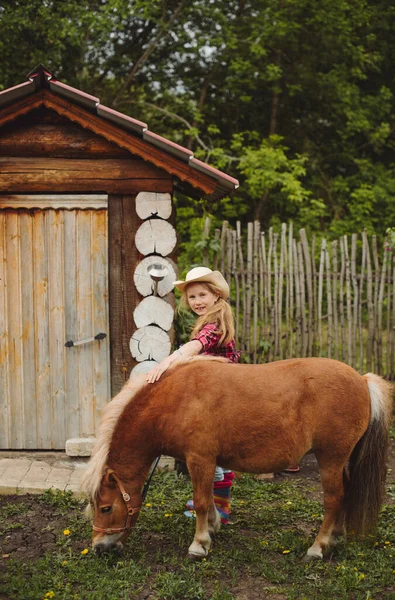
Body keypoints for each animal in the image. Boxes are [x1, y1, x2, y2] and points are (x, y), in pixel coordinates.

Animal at [82, 356, 394, 556]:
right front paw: (212, 529)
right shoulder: (206, 462)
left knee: (334, 499)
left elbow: (201, 501)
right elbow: (208, 498)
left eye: (106, 508)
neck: (175, 400)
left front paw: (198, 544)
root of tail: (362, 379)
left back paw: (318, 547)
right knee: (346, 494)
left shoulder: (199, 459)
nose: (98, 547)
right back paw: (337, 537)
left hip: (330, 459)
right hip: (342, 461)